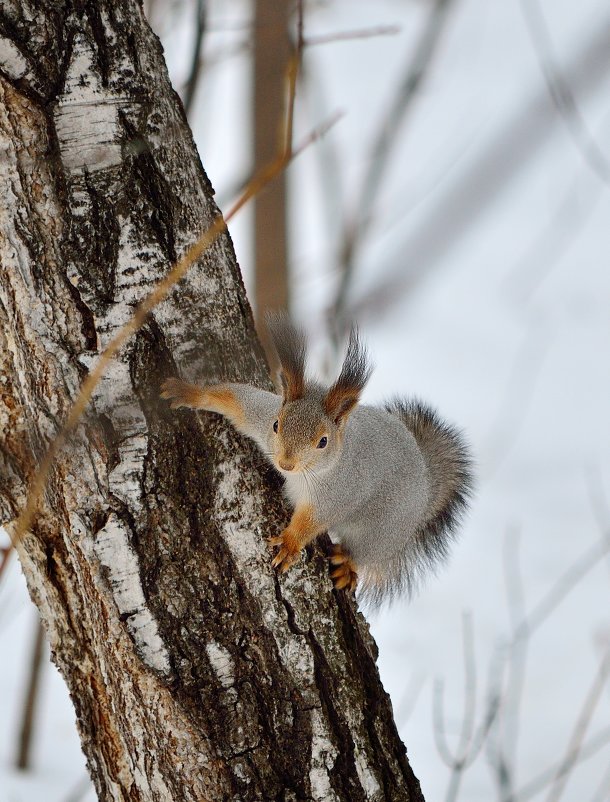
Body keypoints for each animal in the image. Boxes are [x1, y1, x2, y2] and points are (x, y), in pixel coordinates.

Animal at [160, 314, 470, 608]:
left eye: (323, 441)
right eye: (276, 425)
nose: (285, 464)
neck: (307, 472)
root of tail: (427, 483)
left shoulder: (338, 493)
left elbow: (312, 521)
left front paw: (289, 544)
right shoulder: (259, 414)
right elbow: (234, 399)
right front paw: (189, 392)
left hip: (384, 529)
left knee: (365, 552)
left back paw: (348, 565)